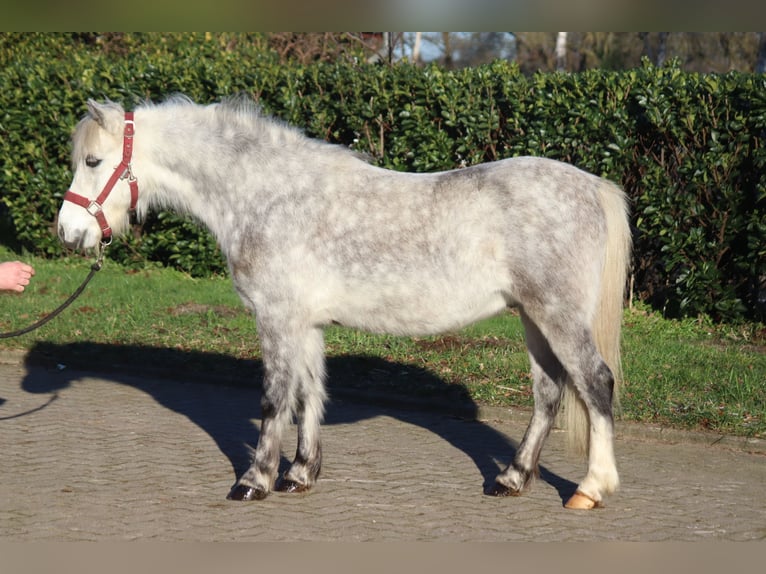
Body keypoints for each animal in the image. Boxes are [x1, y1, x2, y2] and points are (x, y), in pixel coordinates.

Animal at [60, 97, 632, 510]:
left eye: (93, 161)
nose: (67, 233)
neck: (266, 195)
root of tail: (592, 186)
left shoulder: (277, 318)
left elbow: (274, 399)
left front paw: (254, 481)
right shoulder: (306, 324)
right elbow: (309, 394)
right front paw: (299, 474)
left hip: (556, 314)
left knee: (595, 383)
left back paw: (591, 489)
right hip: (533, 317)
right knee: (549, 393)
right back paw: (511, 479)